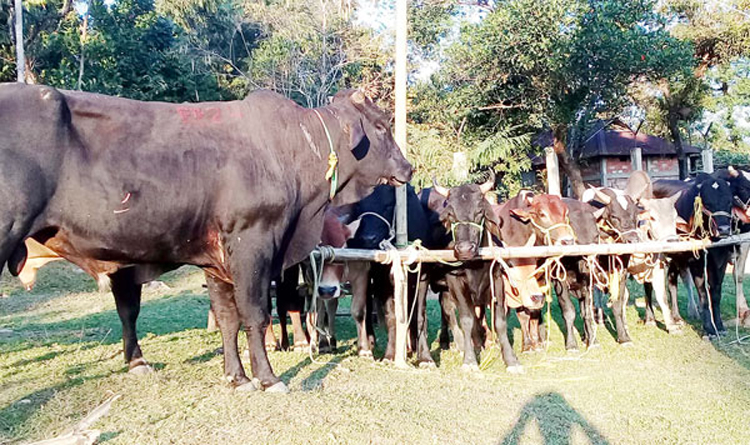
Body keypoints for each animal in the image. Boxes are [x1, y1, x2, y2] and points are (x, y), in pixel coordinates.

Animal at [0, 83, 412, 392]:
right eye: (380, 126)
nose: (408, 167)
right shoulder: (252, 244)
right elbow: (254, 315)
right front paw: (267, 378)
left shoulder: (217, 260)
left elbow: (228, 319)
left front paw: (237, 377)